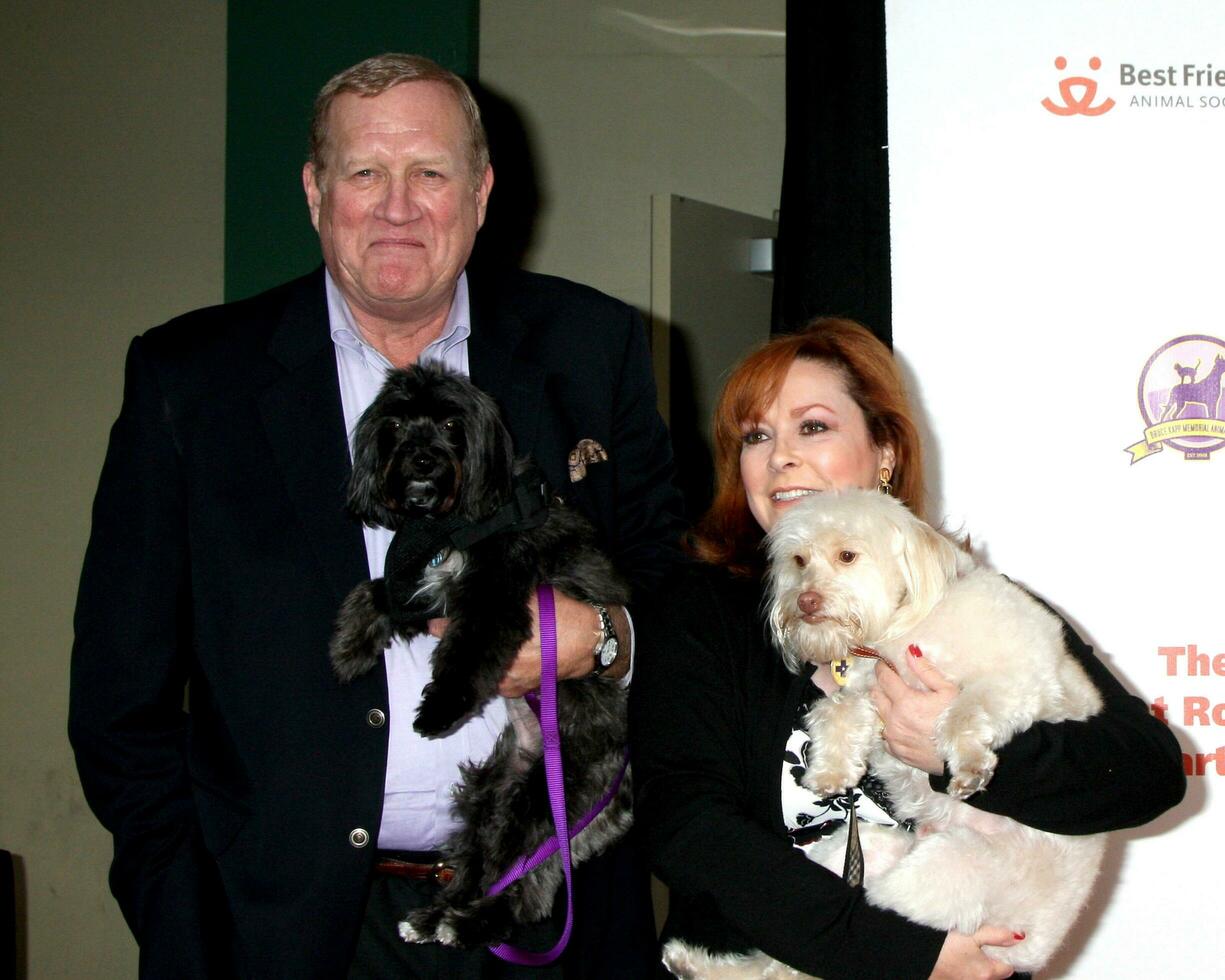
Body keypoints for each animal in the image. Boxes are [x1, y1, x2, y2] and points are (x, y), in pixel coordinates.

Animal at [330, 362, 632, 945]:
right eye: (395, 425)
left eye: (451, 425)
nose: (422, 459)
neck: (459, 519)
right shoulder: (430, 590)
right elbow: (380, 593)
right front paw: (350, 644)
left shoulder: (497, 601)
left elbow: (466, 654)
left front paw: (438, 709)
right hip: (488, 791)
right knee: (483, 868)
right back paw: (434, 917)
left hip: (542, 804)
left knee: (524, 897)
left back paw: (467, 925)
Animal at [666, 494, 1107, 980]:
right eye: (799, 560)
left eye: (847, 555)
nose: (805, 601)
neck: (903, 625)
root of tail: (1029, 952)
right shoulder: (867, 690)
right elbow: (838, 710)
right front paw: (830, 770)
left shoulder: (1017, 681)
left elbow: (962, 713)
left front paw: (969, 765)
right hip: (858, 854)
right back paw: (692, 962)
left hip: (940, 872)